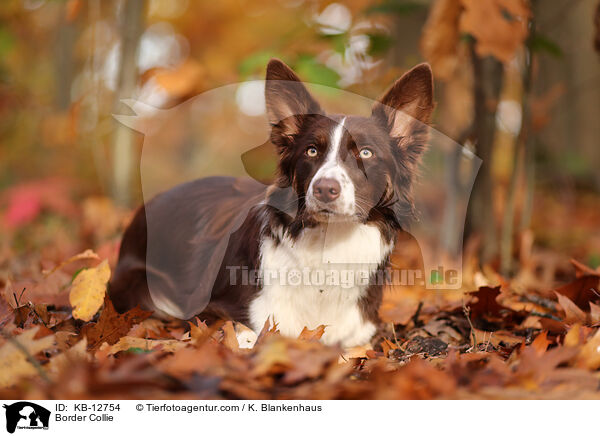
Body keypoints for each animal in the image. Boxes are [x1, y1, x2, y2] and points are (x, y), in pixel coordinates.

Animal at [110, 59, 434, 350]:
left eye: (366, 153)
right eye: (311, 151)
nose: (324, 190)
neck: (329, 244)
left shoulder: (360, 329)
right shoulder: (212, 308)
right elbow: (246, 334)